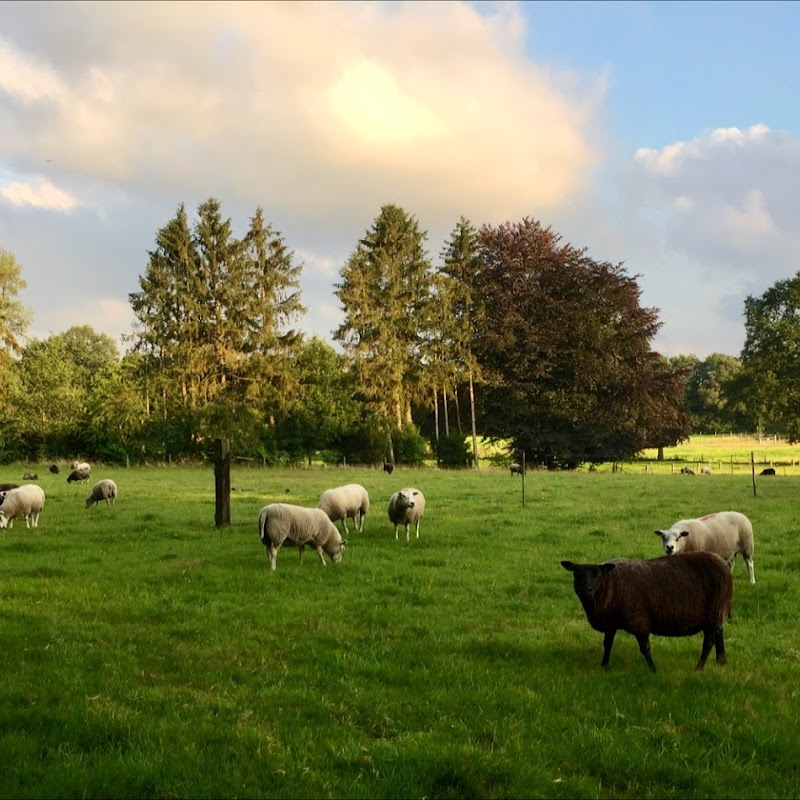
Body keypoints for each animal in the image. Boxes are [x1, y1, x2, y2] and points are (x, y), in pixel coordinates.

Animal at [560, 552, 736, 672]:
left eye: (596, 574)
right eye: (576, 574)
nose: (586, 590)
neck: (610, 585)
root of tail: (725, 565)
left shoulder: (639, 620)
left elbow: (645, 648)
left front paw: (653, 670)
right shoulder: (611, 622)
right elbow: (607, 644)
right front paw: (604, 665)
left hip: (714, 611)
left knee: (708, 643)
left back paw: (699, 668)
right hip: (716, 612)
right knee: (719, 634)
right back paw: (721, 660)